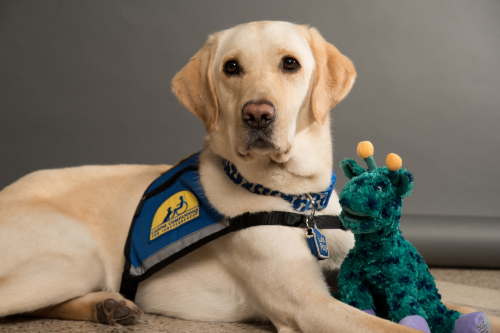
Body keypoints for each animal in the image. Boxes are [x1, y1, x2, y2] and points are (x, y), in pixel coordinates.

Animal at [0, 21, 496, 332]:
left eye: (291, 64)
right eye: (231, 67)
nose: (258, 114)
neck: (299, 201)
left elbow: (458, 305)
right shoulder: (309, 305)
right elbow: (393, 329)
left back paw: (108, 306)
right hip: (70, 258)